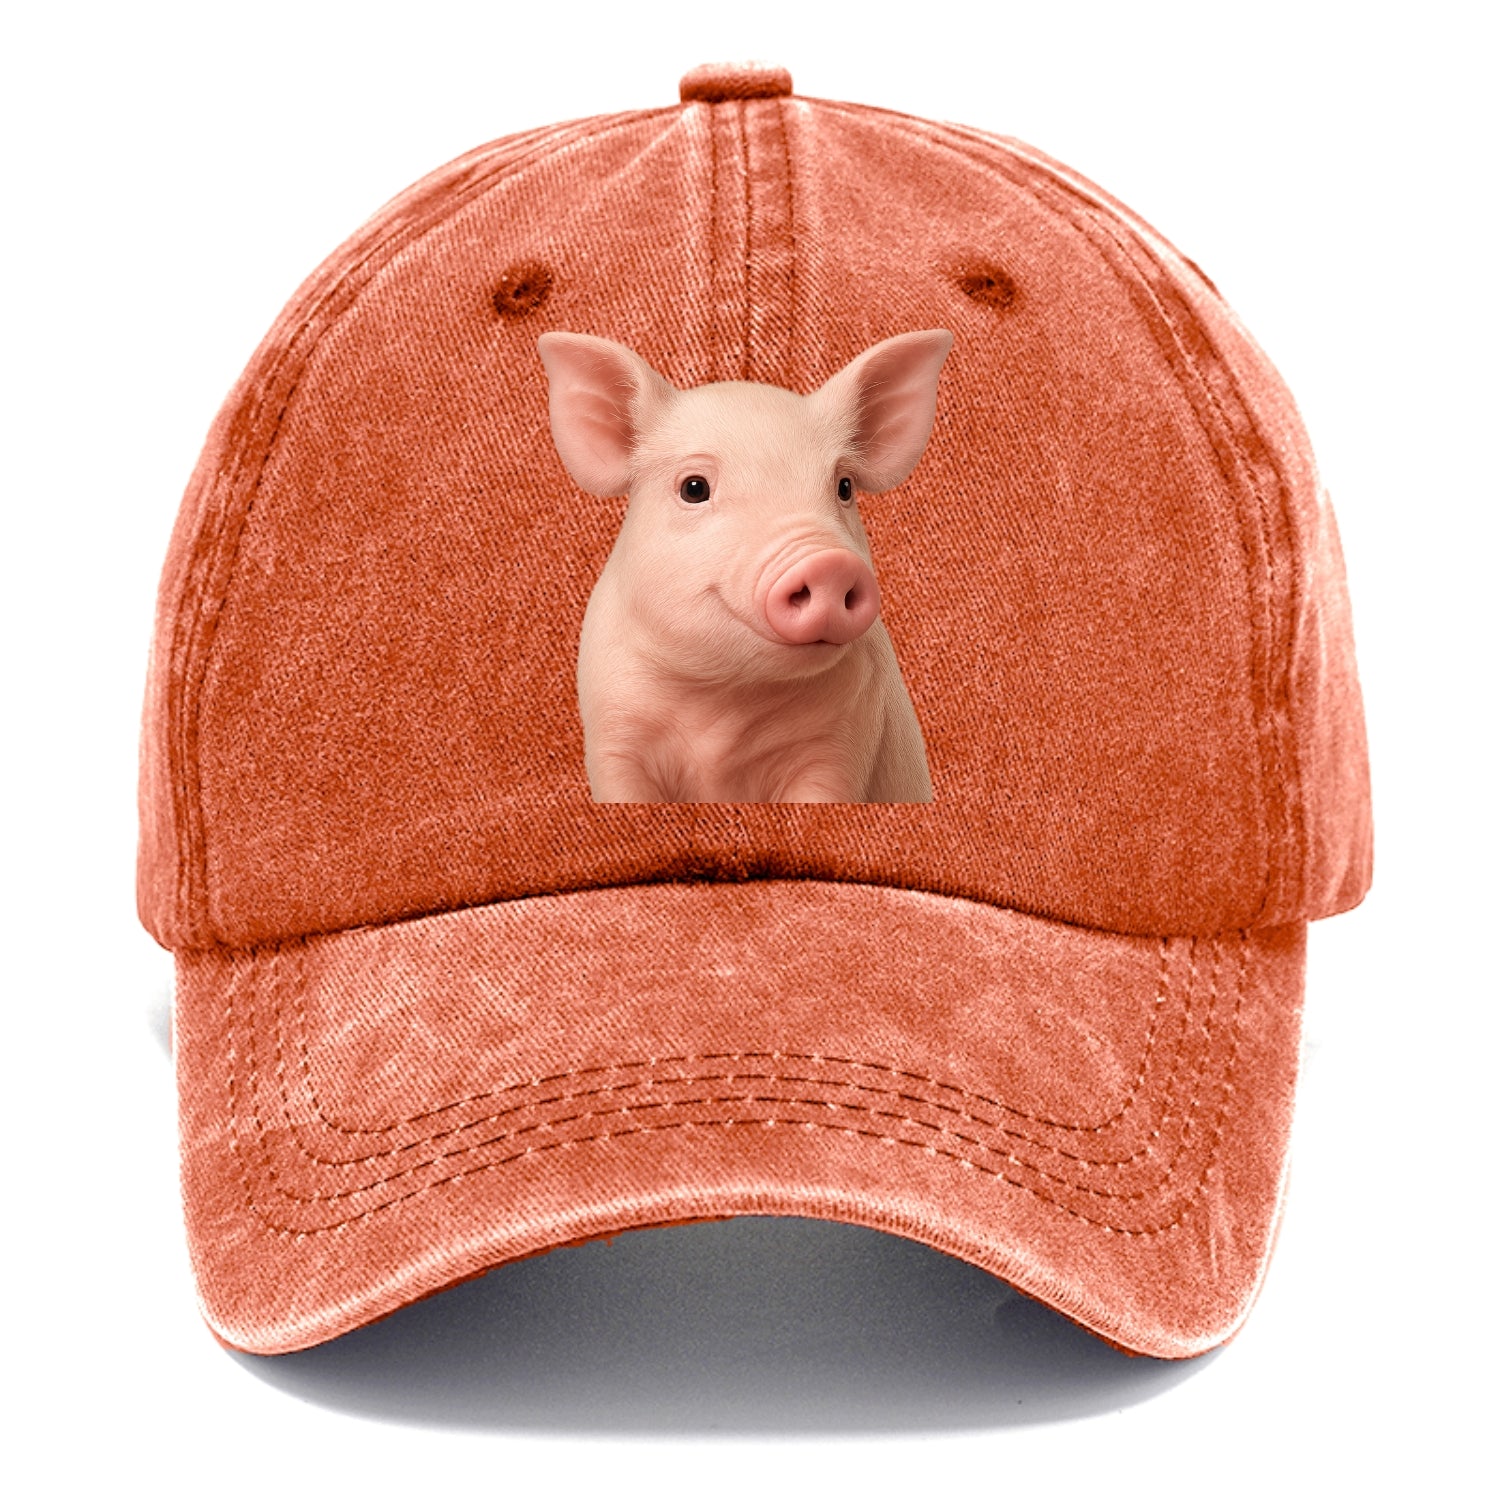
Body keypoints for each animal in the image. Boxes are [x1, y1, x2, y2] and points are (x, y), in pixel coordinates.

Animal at [537, 329, 952, 803]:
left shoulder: (841, 746)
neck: (725, 700)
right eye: (694, 488)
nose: (828, 564)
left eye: (844, 487)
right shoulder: (612, 733)